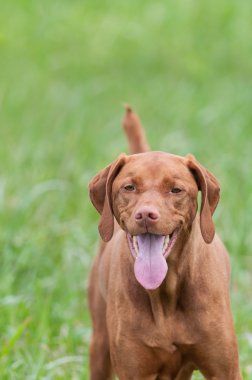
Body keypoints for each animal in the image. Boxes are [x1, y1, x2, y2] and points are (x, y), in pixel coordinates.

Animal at [87, 107, 241, 380]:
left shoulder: (226, 370)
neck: (166, 290)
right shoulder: (133, 371)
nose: (146, 214)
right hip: (100, 347)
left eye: (176, 189)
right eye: (129, 187)